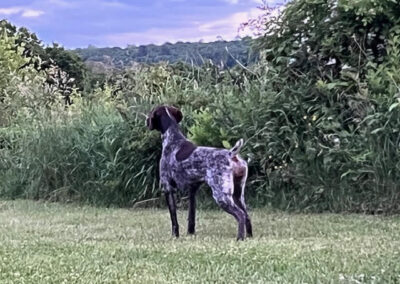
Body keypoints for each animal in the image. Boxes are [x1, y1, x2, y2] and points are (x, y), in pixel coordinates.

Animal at [147, 106, 253, 240]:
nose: (146, 121)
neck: (173, 139)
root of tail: (231, 154)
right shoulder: (192, 189)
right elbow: (191, 217)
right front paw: (190, 234)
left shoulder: (168, 188)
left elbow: (174, 220)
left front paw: (175, 236)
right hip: (238, 194)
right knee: (247, 215)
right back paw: (249, 237)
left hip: (221, 195)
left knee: (240, 215)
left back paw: (240, 238)